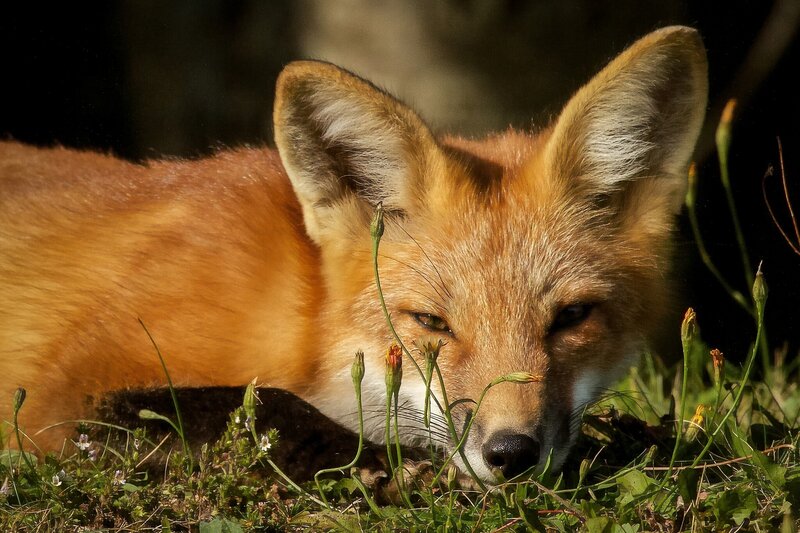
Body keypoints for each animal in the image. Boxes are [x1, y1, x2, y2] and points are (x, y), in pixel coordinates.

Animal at [0, 26, 707, 483]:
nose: (511, 454)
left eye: (571, 318)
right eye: (431, 323)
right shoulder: (56, 398)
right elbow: (268, 405)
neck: (305, 322)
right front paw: (376, 467)